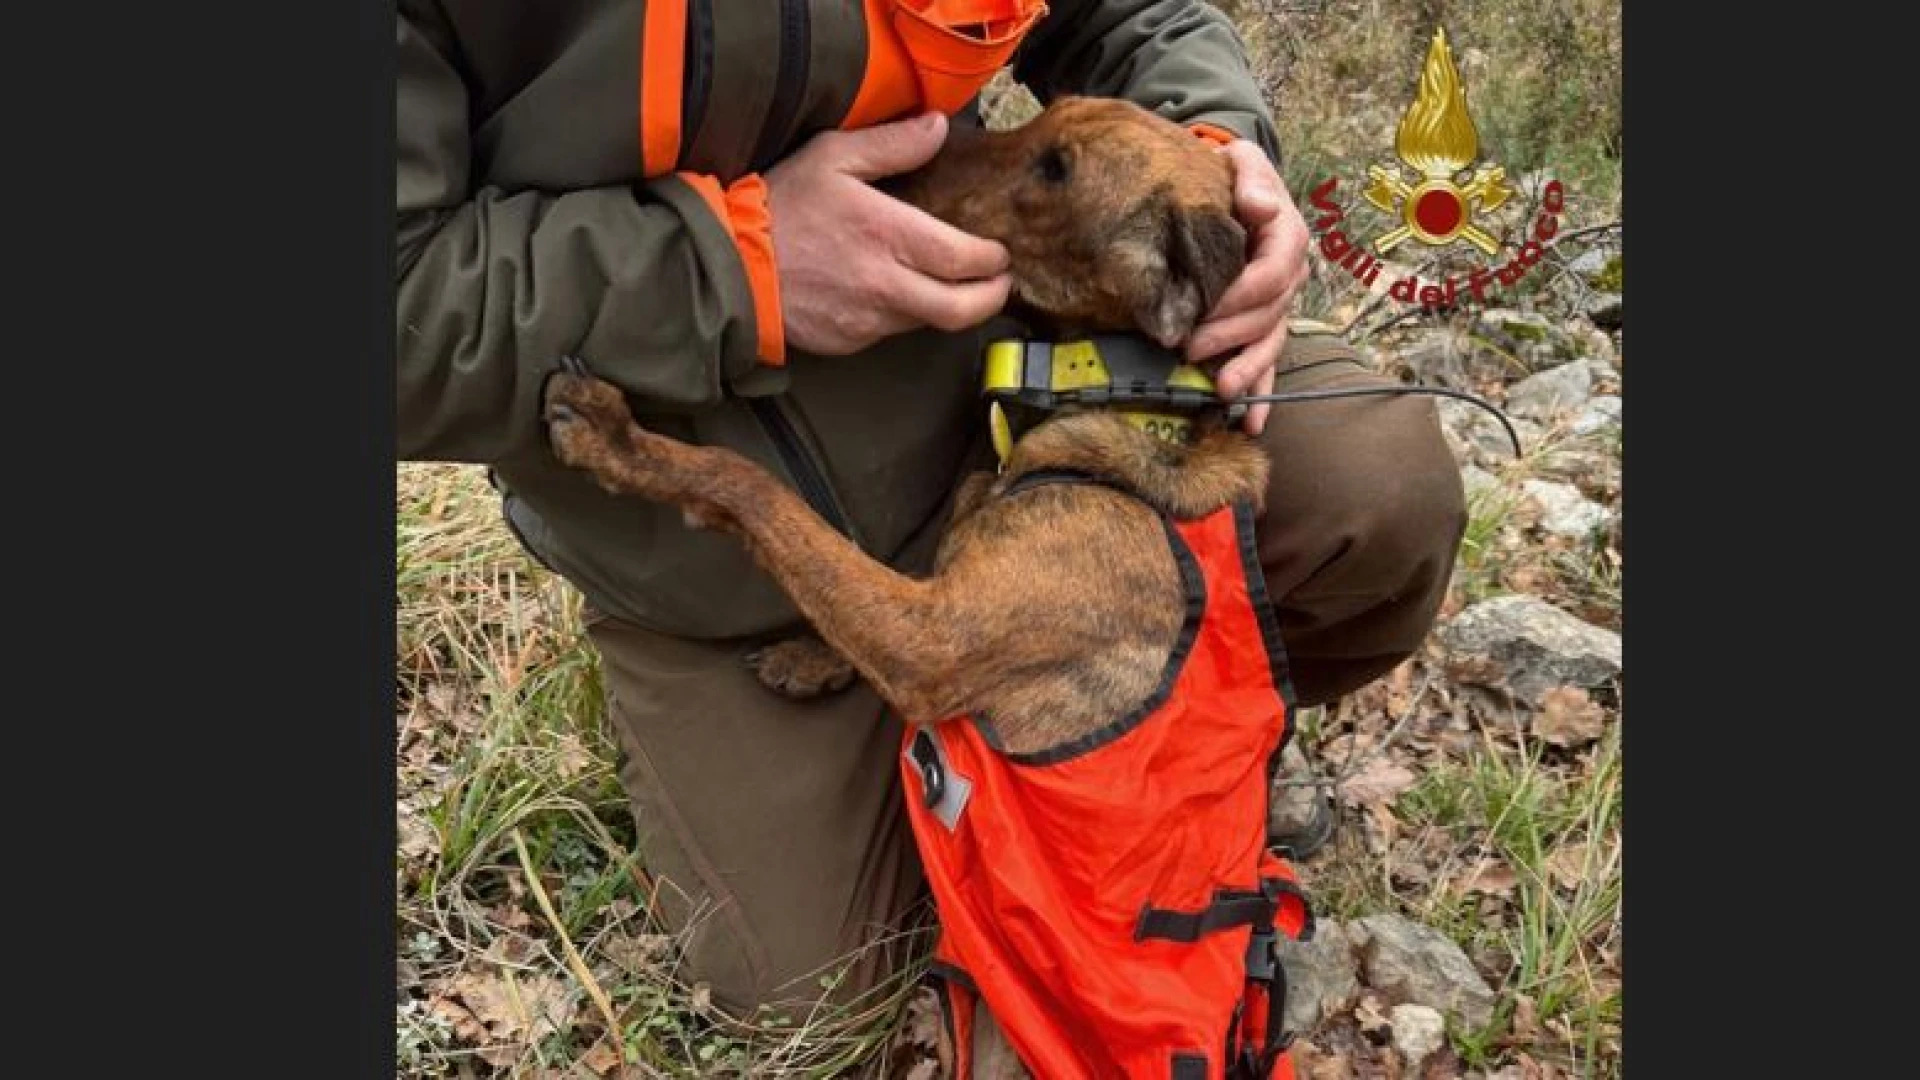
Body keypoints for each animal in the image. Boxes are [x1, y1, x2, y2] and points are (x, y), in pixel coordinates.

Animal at [541, 98, 1259, 1068]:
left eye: (1059, 170)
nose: (895, 165)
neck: (1132, 402)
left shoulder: (929, 645)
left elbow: (756, 491)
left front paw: (616, 442)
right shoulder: (939, 581)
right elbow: (880, 558)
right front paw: (811, 657)